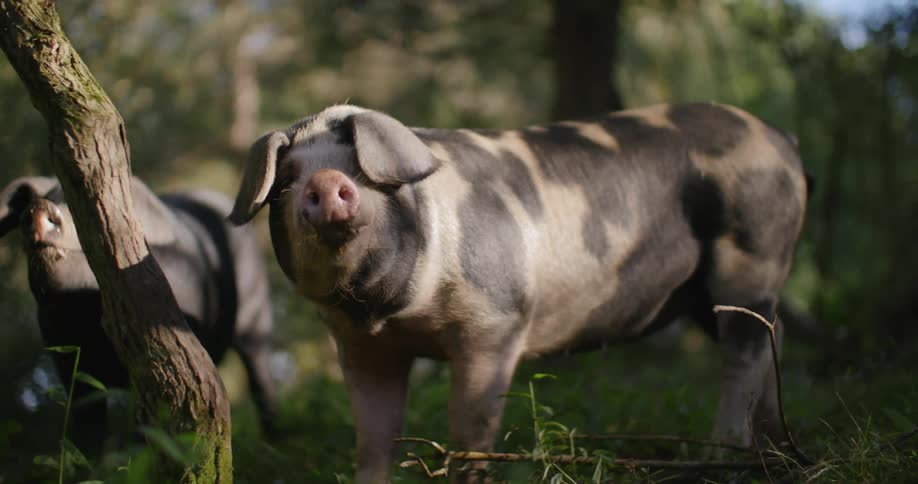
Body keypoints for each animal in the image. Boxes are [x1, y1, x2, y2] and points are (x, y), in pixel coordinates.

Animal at [0, 176, 278, 453]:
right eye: (49, 197)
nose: (40, 207)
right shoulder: (67, 360)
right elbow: (87, 427)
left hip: (257, 315)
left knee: (261, 381)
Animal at [229, 102, 809, 482]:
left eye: (364, 172)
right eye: (285, 183)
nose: (325, 181)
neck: (390, 312)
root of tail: (783, 142)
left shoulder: (496, 321)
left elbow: (471, 428)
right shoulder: (362, 348)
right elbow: (374, 439)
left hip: (752, 253)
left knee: (743, 350)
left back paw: (727, 455)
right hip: (712, 292)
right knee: (770, 337)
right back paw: (774, 448)